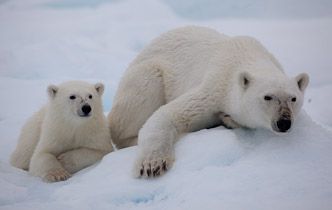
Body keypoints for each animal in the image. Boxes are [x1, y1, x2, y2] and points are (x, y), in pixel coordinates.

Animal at [107, 25, 310, 177]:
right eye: (268, 97)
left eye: (293, 98)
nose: (284, 122)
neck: (246, 57)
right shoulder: (216, 85)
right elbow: (168, 114)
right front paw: (152, 164)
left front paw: (227, 119)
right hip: (144, 75)